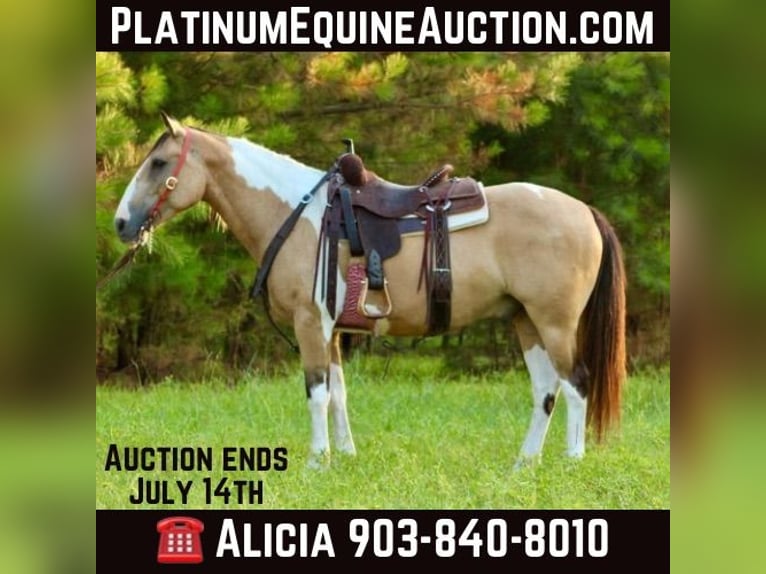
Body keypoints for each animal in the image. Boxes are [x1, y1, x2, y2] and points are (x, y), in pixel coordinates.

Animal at [112, 112, 626, 468]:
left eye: (159, 163)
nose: (120, 223)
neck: (299, 216)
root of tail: (584, 211)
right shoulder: (333, 330)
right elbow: (339, 393)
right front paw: (345, 456)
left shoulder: (311, 324)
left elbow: (316, 392)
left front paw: (316, 463)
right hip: (525, 321)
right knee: (545, 391)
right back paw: (525, 463)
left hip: (554, 322)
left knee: (576, 384)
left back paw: (571, 461)